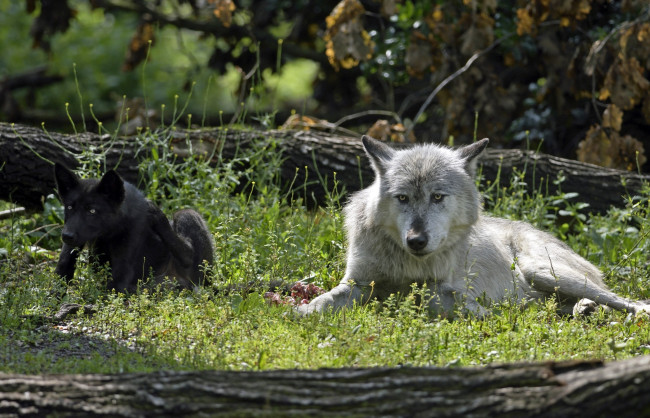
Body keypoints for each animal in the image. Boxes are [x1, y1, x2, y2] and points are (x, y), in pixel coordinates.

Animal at [53, 163, 213, 290]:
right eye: (69, 207)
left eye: (92, 211)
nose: (66, 236)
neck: (108, 233)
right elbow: (63, 267)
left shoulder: (123, 270)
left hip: (186, 214)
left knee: (189, 256)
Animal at [298, 137, 648, 316]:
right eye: (403, 198)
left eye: (438, 196)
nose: (416, 240)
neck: (408, 264)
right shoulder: (357, 283)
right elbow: (320, 302)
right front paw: (300, 312)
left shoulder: (449, 291)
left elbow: (433, 296)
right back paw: (583, 310)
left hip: (542, 271)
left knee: (628, 300)